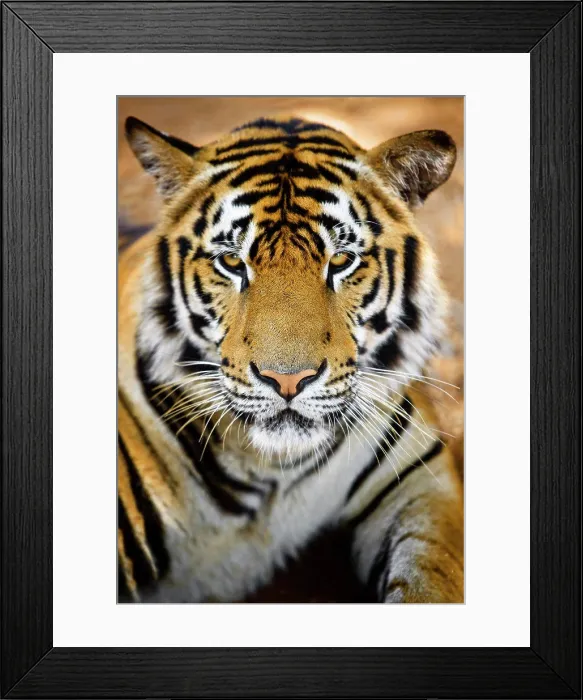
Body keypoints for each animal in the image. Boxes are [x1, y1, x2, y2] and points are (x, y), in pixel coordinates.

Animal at [118, 115, 464, 603]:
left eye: (341, 260)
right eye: (232, 262)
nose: (287, 381)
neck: (273, 468)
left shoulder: (421, 485)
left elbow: (434, 578)